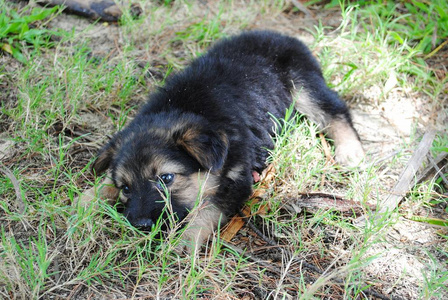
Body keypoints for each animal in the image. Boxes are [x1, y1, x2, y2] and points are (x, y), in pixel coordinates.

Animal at [83, 29, 364, 251]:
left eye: (167, 178)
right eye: (125, 188)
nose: (141, 225)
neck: (184, 109)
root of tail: (286, 37)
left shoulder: (235, 183)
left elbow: (204, 214)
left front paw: (181, 246)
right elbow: (103, 184)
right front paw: (85, 201)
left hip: (303, 86)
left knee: (336, 110)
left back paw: (350, 151)